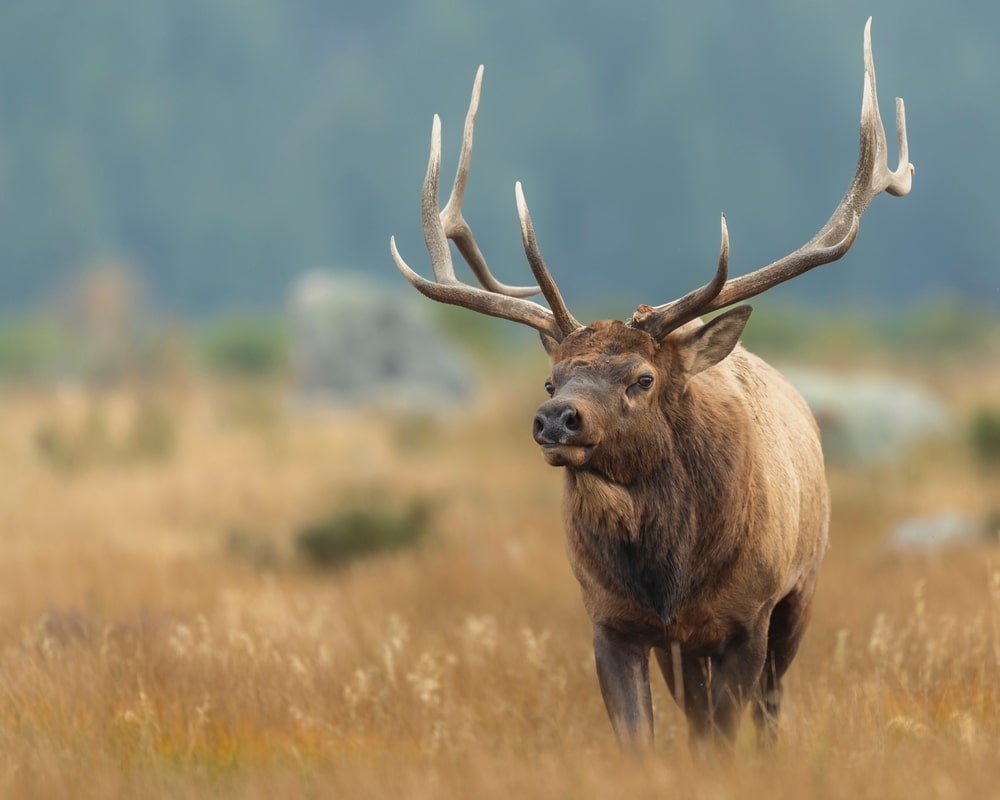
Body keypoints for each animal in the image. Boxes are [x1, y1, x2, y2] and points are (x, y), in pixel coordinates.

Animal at [390, 18, 916, 752]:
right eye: (551, 377)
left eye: (642, 377)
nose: (557, 420)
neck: (672, 578)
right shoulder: (611, 619)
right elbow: (641, 740)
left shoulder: (749, 613)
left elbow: (724, 737)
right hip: (685, 646)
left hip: (801, 590)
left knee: (770, 706)